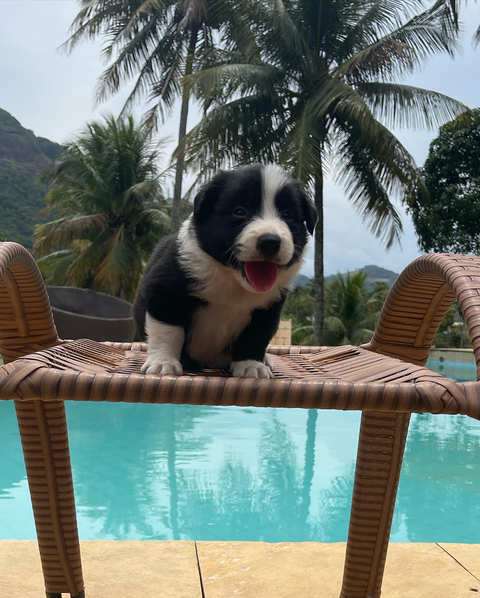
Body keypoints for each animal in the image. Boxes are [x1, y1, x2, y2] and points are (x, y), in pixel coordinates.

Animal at [133, 164, 316, 380]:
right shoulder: (165, 291)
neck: (233, 279)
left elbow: (255, 335)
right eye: (240, 211)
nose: (270, 241)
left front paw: (251, 365)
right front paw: (163, 363)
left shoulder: (268, 308)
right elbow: (169, 330)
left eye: (287, 215)